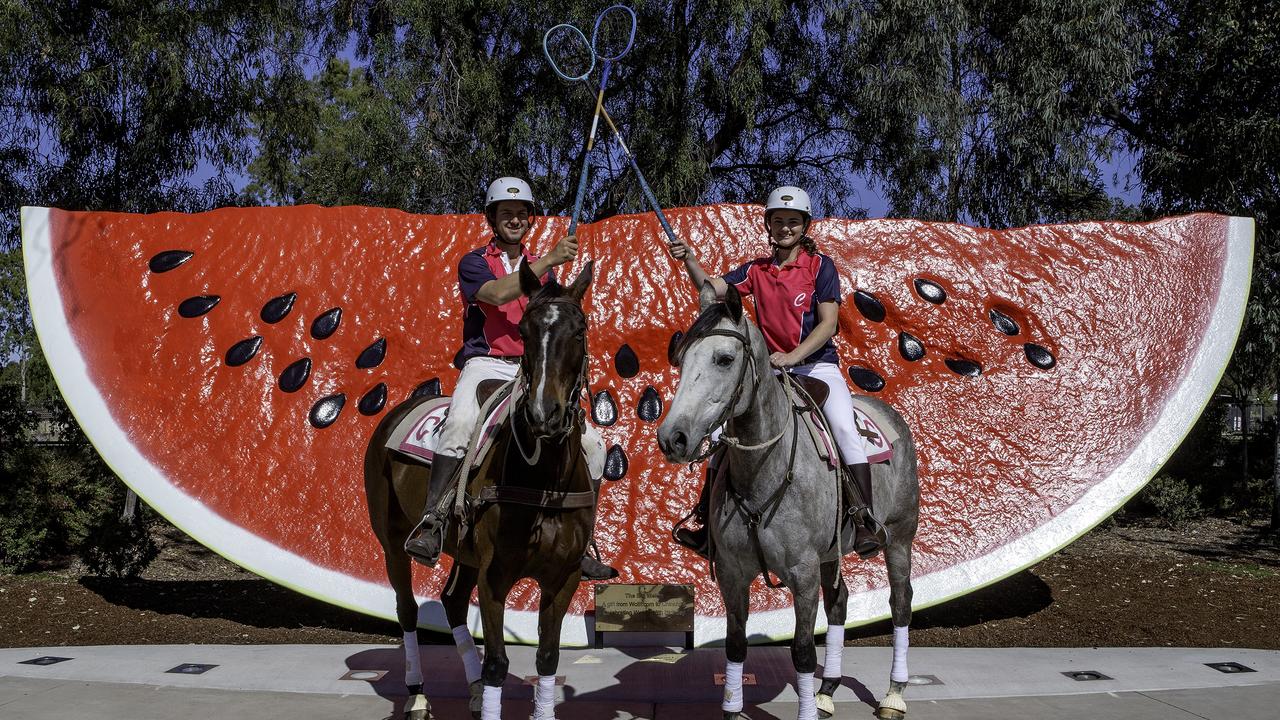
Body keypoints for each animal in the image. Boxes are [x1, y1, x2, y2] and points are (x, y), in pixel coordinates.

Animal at [363, 258, 596, 717]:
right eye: (524, 330)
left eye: (579, 330)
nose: (544, 413)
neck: (544, 480)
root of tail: (399, 408)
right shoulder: (495, 574)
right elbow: (497, 664)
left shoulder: (564, 576)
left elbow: (548, 656)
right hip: (392, 540)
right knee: (407, 609)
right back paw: (417, 693)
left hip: (463, 550)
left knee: (453, 602)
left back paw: (469, 690)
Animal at [660, 283, 921, 712]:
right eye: (681, 359)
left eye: (724, 359)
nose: (672, 438)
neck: (763, 469)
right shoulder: (732, 573)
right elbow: (735, 646)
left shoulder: (802, 572)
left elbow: (801, 652)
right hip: (833, 552)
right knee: (839, 602)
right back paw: (827, 690)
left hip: (899, 538)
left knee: (900, 603)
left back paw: (894, 694)